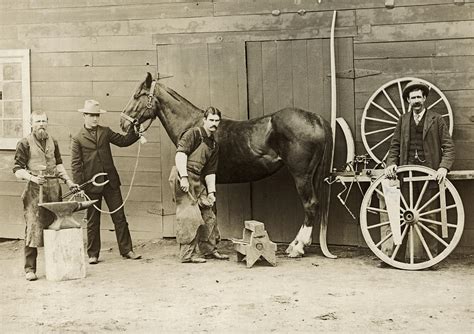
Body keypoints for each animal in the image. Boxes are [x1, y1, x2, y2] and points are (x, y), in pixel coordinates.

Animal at [120, 72, 336, 258]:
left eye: (137, 95)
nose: (123, 124)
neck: (197, 125)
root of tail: (315, 118)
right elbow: (211, 209)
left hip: (301, 175)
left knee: (310, 205)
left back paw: (297, 248)